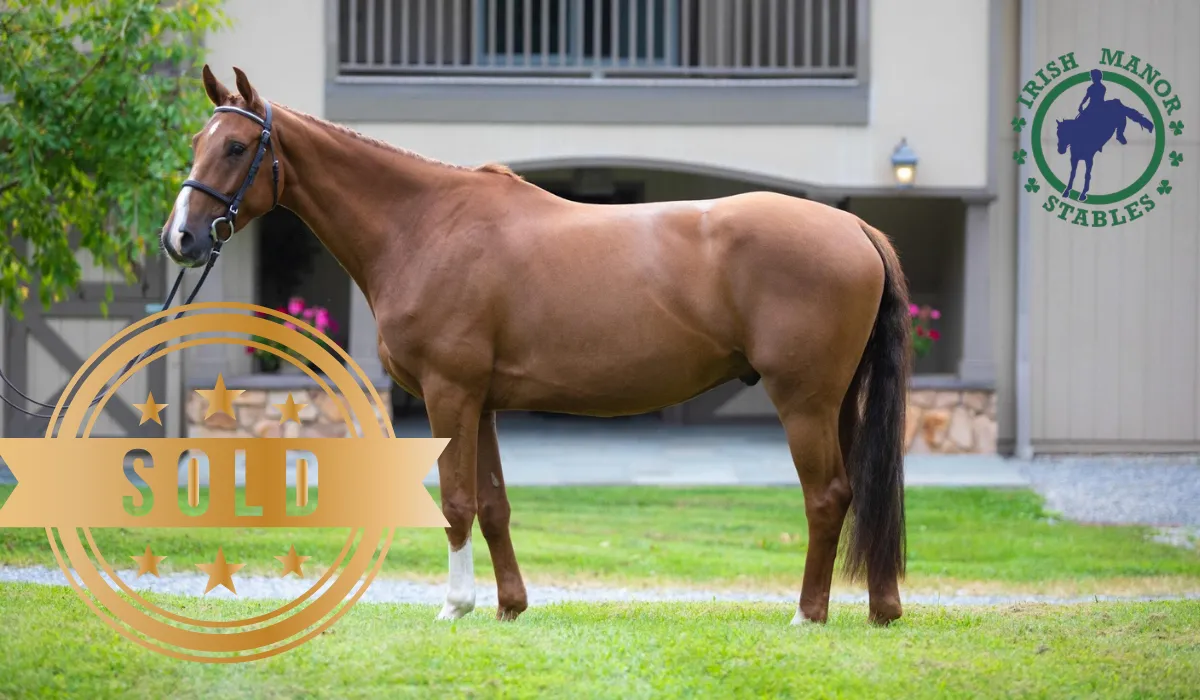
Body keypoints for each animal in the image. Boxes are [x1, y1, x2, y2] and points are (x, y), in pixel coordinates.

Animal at [161, 65, 912, 627]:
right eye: (196, 140)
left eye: (235, 147)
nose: (181, 239)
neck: (423, 225)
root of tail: (855, 228)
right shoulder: (484, 401)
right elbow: (493, 504)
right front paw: (509, 606)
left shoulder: (449, 394)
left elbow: (456, 501)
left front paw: (455, 605)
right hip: (838, 402)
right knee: (859, 493)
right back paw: (881, 607)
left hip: (803, 401)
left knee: (827, 496)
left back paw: (808, 615)